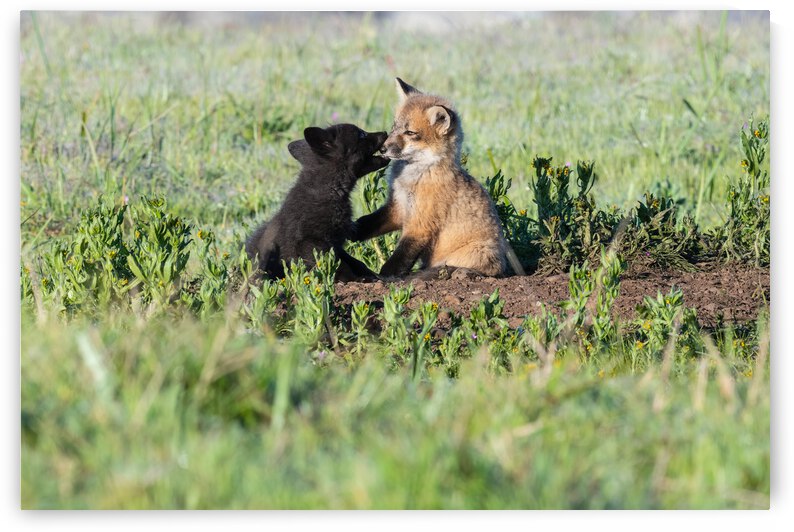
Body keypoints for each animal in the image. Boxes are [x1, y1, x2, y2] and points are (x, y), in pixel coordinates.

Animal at [245, 123, 389, 282]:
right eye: (361, 134)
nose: (385, 132)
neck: (330, 190)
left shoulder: (335, 243)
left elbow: (354, 262)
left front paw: (373, 275)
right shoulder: (312, 242)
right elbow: (338, 265)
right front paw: (357, 279)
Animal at [351, 78, 507, 278]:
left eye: (410, 133)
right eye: (394, 127)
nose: (383, 149)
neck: (412, 178)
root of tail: (503, 267)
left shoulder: (420, 225)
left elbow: (397, 261)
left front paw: (383, 278)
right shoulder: (398, 208)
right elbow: (367, 223)